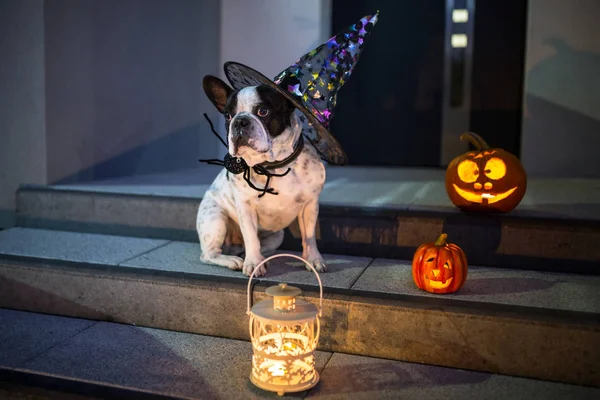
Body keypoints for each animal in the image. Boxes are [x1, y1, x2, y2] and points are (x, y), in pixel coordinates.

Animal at [197, 76, 328, 278]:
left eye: (263, 111)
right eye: (228, 115)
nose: (240, 121)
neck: (273, 165)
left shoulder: (310, 205)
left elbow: (309, 236)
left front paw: (313, 259)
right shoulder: (245, 207)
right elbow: (251, 237)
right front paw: (253, 264)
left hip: (276, 235)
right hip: (215, 218)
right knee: (209, 254)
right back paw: (234, 260)